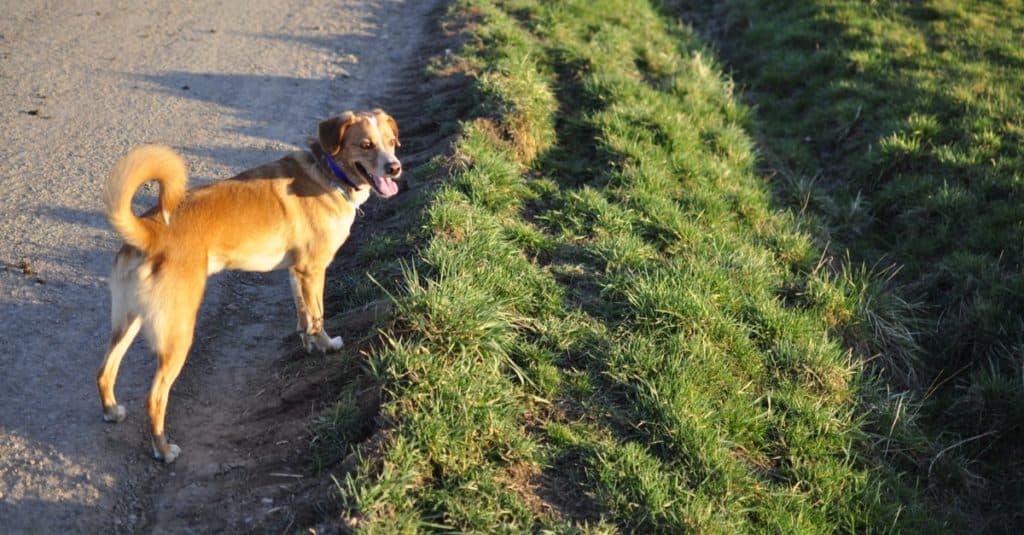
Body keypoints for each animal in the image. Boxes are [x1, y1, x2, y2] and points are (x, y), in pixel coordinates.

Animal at [96, 109, 399, 461]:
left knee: (105, 370)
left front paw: (308, 345)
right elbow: (318, 316)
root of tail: (147, 232)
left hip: (127, 321)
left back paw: (112, 411)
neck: (328, 172)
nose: (395, 167)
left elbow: (303, 315)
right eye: (366, 145)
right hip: (177, 331)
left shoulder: (297, 272)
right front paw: (326, 345)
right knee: (155, 397)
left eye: (392, 142)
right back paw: (163, 449)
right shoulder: (313, 270)